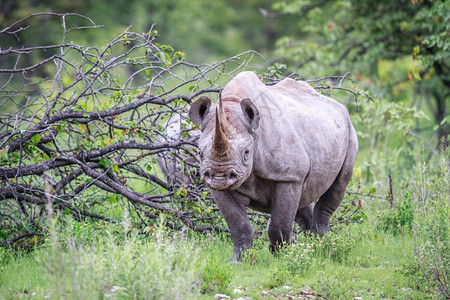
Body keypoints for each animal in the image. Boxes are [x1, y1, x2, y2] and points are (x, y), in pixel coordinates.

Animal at [188, 71, 356, 260]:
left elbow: (280, 223)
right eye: (200, 153)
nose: (219, 176)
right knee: (303, 198)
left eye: (247, 152)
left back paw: (324, 246)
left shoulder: (288, 176)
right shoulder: (217, 187)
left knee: (338, 184)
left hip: (350, 131)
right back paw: (314, 246)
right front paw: (239, 260)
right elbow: (238, 224)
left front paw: (280, 254)